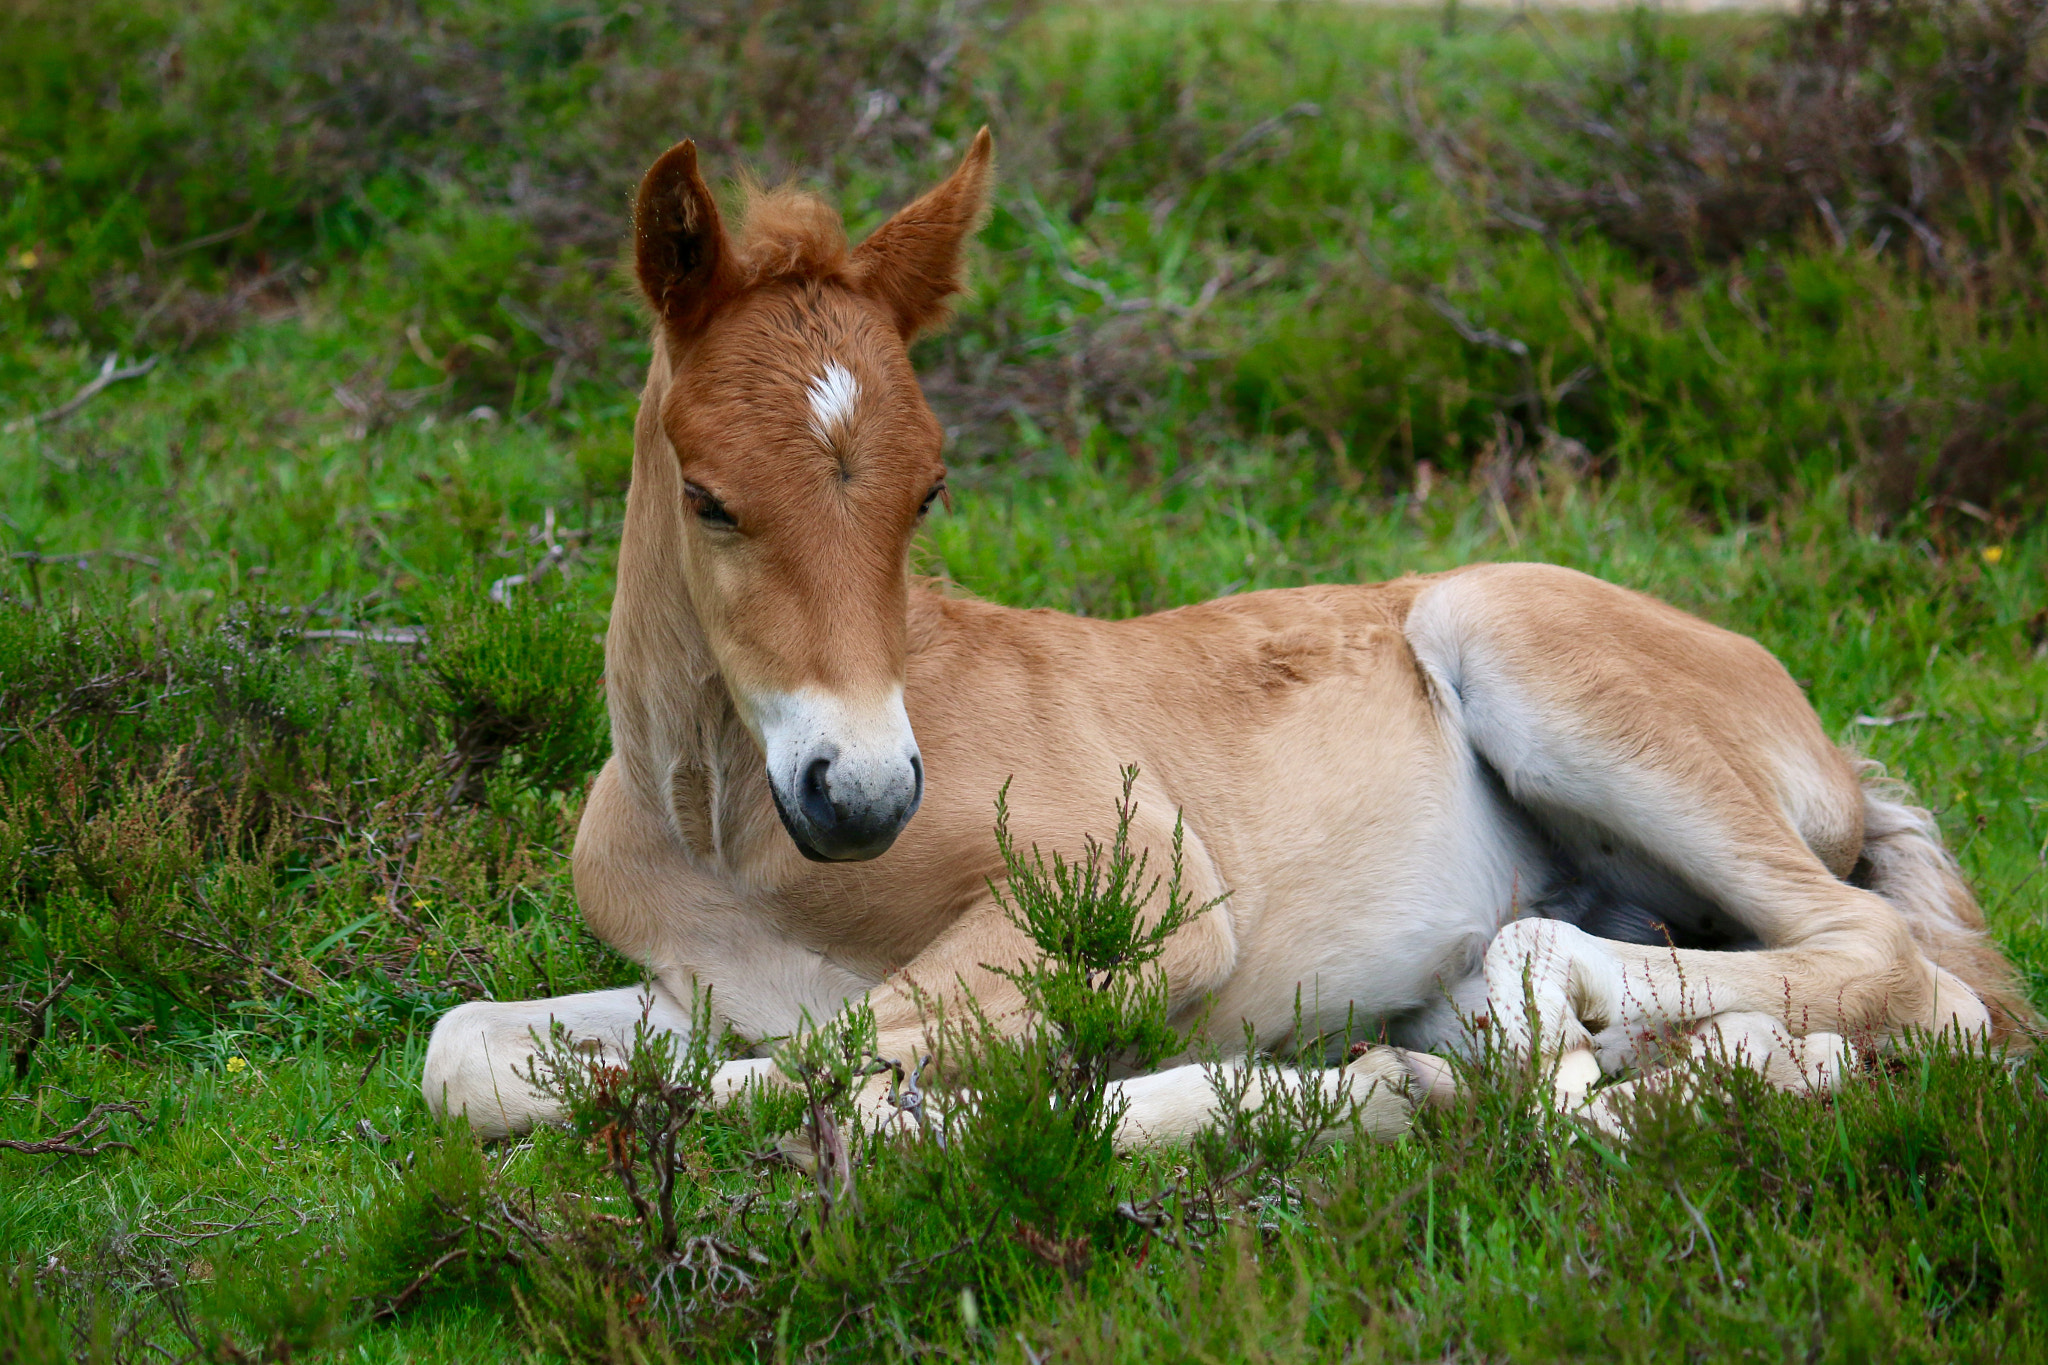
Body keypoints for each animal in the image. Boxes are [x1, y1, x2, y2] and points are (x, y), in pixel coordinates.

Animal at [422, 129, 2027, 1145]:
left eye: (929, 487)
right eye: (709, 497)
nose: (863, 795)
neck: (729, 833)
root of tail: (1826, 745)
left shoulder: (1145, 902)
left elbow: (842, 1076)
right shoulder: (703, 990)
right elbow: (466, 1055)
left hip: (1515, 643)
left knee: (1894, 961)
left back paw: (1533, 1015)